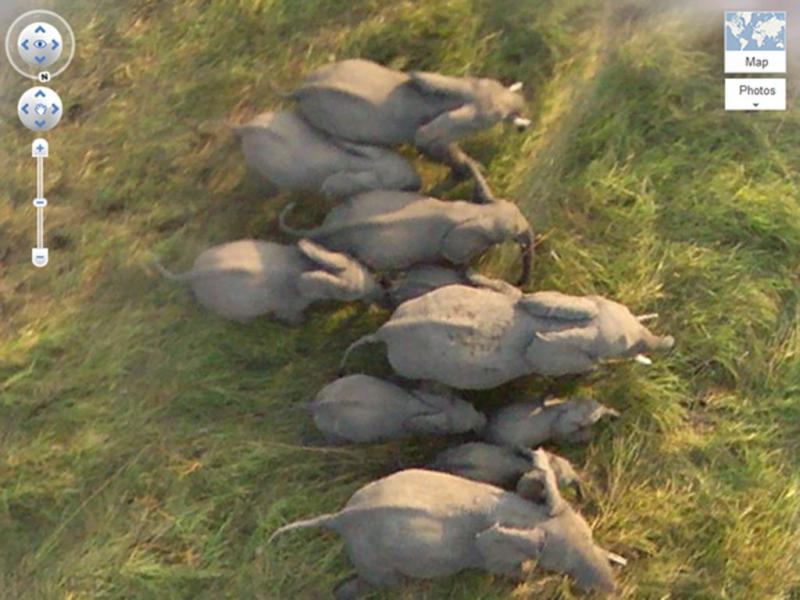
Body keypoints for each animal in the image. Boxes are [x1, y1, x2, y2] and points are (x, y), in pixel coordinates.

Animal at [155, 239, 382, 324]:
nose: (381, 289)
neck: (304, 266)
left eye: (353, 258)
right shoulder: (288, 307)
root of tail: (192, 272)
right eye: (349, 293)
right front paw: (304, 322)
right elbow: (293, 317)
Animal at [269, 452, 618, 598]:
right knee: (383, 584)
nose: (613, 591)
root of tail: (338, 518)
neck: (525, 515)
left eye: (590, 534)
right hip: (370, 556)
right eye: (565, 564)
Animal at [279, 190, 534, 285]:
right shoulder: (454, 248)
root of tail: (326, 225)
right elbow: (462, 269)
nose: (520, 281)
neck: (474, 213)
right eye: (512, 231)